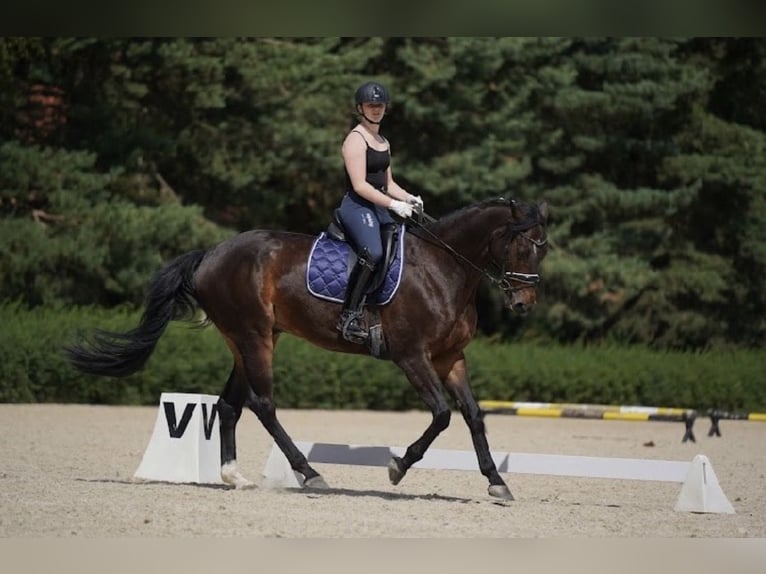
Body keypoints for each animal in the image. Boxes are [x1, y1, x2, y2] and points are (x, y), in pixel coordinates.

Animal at [65, 197, 549, 500]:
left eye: (542, 251)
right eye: (522, 246)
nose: (524, 304)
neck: (443, 268)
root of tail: (212, 254)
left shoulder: (451, 359)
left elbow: (473, 416)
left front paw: (496, 482)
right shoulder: (412, 357)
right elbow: (443, 415)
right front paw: (397, 467)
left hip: (248, 340)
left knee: (229, 405)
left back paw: (234, 476)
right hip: (254, 337)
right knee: (263, 404)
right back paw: (310, 473)